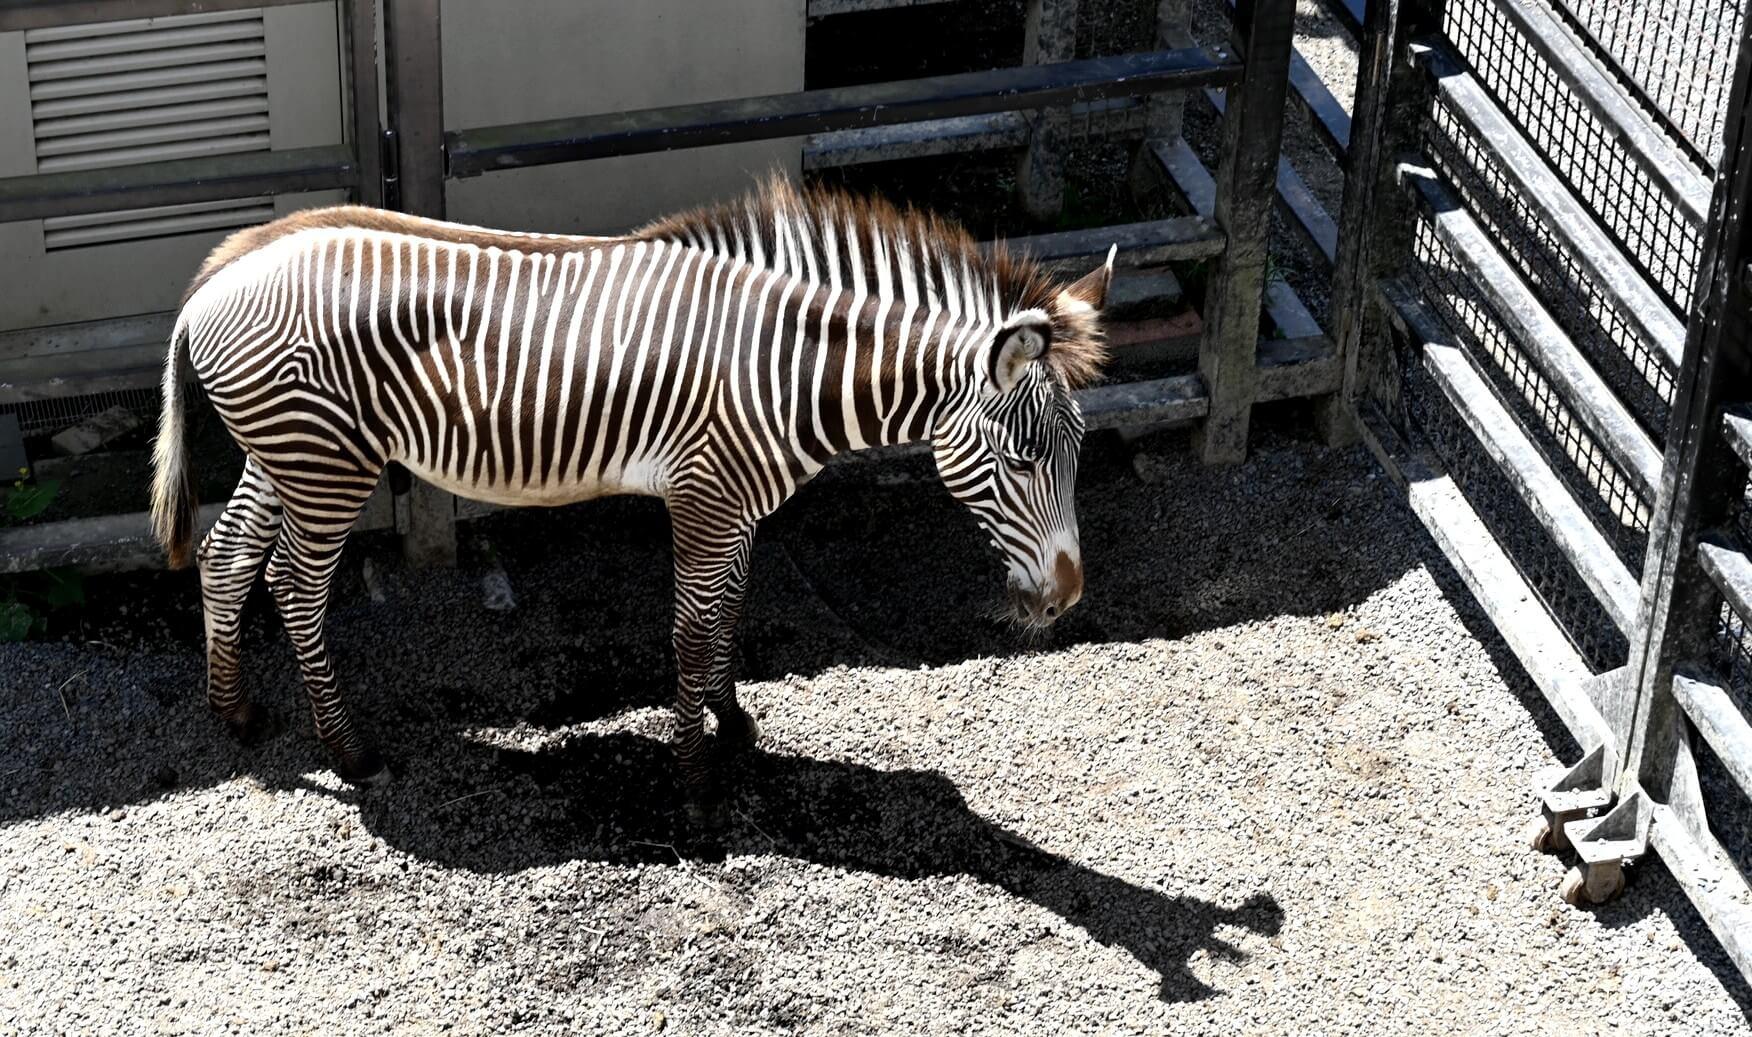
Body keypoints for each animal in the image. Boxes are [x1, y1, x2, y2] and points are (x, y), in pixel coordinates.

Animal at [150, 178, 1107, 826]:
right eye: (1022, 458)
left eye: (1077, 454)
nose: (1066, 600)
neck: (785, 374)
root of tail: (217, 275)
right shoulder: (705, 495)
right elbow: (689, 627)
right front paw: (692, 777)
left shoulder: (736, 501)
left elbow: (728, 609)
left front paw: (729, 717)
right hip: (327, 462)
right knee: (294, 586)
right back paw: (351, 753)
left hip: (284, 453)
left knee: (226, 556)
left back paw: (236, 712)